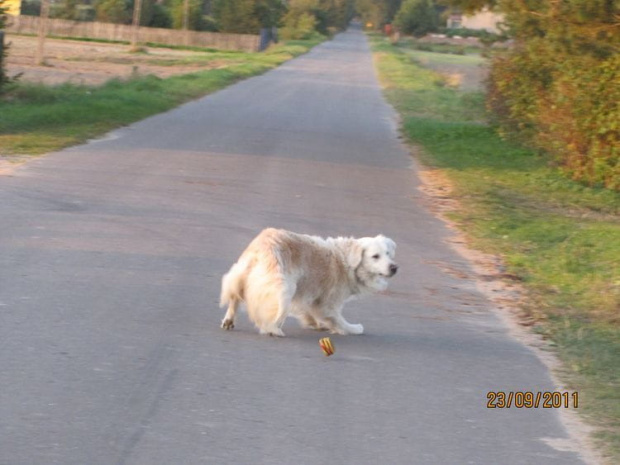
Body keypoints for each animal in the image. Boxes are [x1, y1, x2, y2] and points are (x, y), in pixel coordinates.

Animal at [220, 227, 400, 336]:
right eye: (375, 256)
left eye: (388, 253)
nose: (394, 267)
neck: (347, 261)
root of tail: (263, 246)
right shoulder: (328, 303)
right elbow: (338, 319)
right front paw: (352, 328)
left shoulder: (309, 296)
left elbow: (309, 311)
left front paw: (316, 324)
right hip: (284, 286)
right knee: (274, 311)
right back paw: (273, 329)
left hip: (242, 273)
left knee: (235, 295)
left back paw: (229, 320)